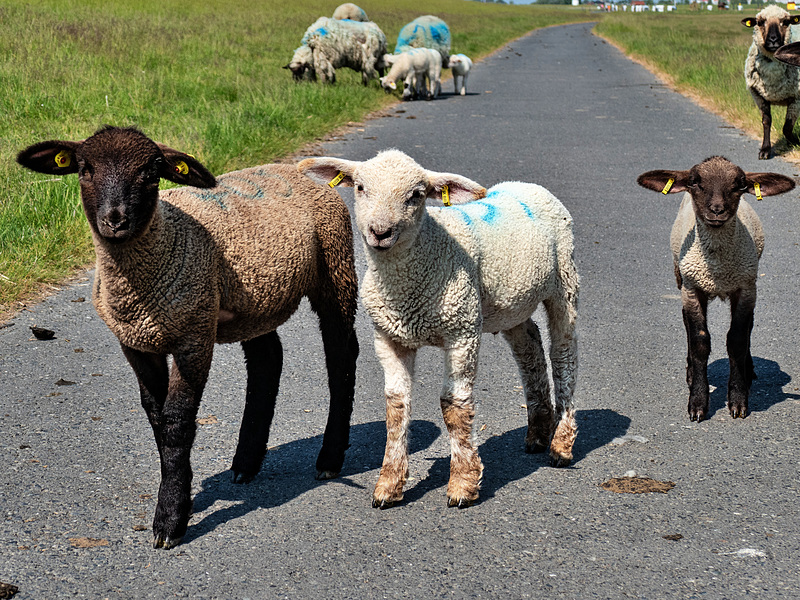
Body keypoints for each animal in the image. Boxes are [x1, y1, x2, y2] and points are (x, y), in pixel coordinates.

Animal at [14, 126, 360, 548]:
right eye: (84, 169)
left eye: (151, 172)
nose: (115, 220)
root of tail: (296, 171)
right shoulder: (135, 343)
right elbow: (156, 417)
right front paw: (182, 494)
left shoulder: (192, 338)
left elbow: (177, 422)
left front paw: (169, 520)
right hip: (252, 301)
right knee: (267, 358)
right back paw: (246, 462)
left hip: (335, 267)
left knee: (341, 356)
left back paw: (329, 458)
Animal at [296, 148, 580, 508]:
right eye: (360, 187)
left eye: (416, 195)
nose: (380, 232)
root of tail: (525, 185)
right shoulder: (388, 337)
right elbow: (396, 406)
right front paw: (388, 485)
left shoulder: (463, 330)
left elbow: (454, 405)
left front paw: (462, 484)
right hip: (509, 303)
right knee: (528, 348)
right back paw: (538, 432)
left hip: (564, 282)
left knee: (564, 355)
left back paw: (561, 444)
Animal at [636, 157, 792, 424]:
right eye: (694, 182)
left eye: (740, 185)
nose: (717, 210)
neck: (718, 269)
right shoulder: (692, 288)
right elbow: (699, 340)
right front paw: (698, 403)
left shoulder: (744, 288)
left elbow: (738, 339)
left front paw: (738, 401)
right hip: (682, 278)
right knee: (687, 325)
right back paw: (690, 372)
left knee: (748, 327)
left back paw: (749, 370)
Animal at [740, 4, 800, 159]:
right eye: (760, 22)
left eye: (786, 22)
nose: (773, 40)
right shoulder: (759, 96)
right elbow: (766, 122)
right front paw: (765, 150)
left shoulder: (796, 98)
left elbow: (787, 127)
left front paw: (795, 142)